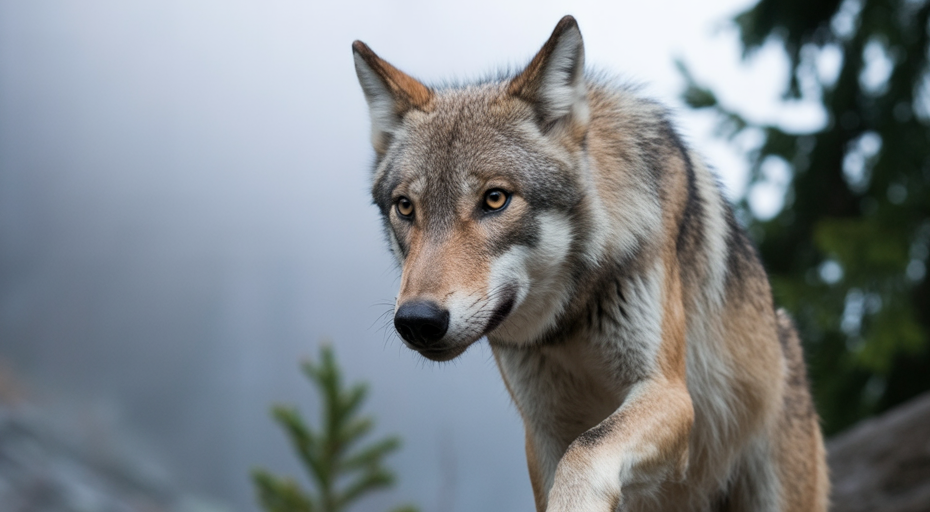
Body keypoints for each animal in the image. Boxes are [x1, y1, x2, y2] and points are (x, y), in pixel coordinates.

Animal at [352, 15, 829, 512]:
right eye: (405, 207)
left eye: (495, 199)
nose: (418, 320)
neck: (571, 321)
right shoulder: (541, 432)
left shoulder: (671, 395)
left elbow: (588, 448)